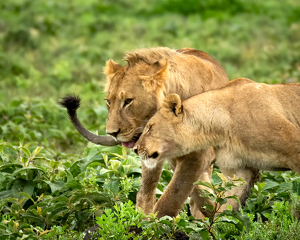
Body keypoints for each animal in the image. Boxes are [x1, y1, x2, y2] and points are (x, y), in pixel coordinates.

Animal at [60, 47, 230, 219]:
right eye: (108, 101)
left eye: (128, 101)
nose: (112, 133)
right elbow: (159, 193)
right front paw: (145, 222)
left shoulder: (197, 157)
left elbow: (174, 196)